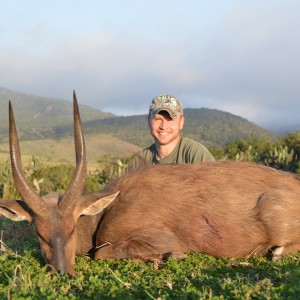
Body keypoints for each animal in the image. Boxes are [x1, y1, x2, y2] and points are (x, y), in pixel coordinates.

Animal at [0, 92, 300, 276]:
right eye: (40, 233)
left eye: (72, 228)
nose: (62, 272)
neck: (111, 206)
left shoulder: (158, 238)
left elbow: (102, 253)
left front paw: (168, 257)